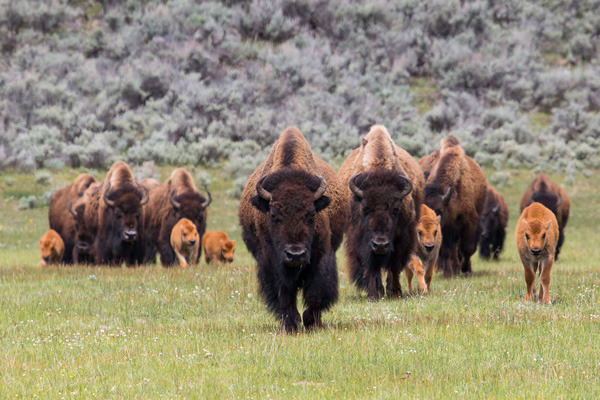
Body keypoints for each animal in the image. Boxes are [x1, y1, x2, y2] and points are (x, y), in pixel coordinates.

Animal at [239, 127, 350, 332]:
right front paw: (291, 324)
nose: (295, 254)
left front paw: (311, 322)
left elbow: (316, 292)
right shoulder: (272, 262)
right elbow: (284, 295)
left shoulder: (321, 255)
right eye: (273, 215)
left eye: (311, 213)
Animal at [338, 125, 426, 300]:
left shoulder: (401, 237)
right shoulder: (360, 240)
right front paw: (373, 294)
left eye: (395, 209)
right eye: (365, 208)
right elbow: (371, 267)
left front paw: (395, 292)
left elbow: (394, 265)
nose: (380, 244)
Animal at [424, 136, 490, 276]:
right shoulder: (445, 229)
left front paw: (466, 270)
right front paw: (448, 274)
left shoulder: (469, 223)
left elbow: (467, 248)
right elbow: (446, 251)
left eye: (439, 210)